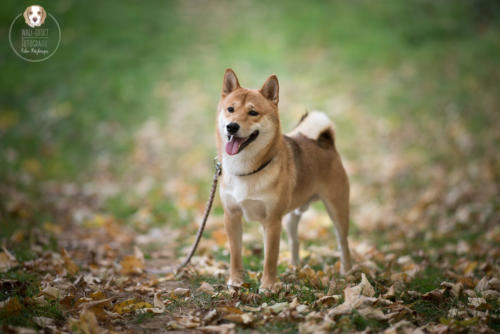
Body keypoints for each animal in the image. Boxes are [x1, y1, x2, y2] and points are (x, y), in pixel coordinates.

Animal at [216, 68, 352, 290]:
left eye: (253, 112)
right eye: (230, 109)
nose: (231, 126)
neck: (246, 170)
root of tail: (325, 142)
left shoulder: (272, 221)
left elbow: (270, 258)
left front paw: (268, 286)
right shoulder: (232, 215)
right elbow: (235, 254)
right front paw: (235, 281)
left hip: (336, 210)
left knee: (343, 243)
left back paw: (347, 272)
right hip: (290, 218)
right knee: (295, 242)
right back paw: (294, 269)